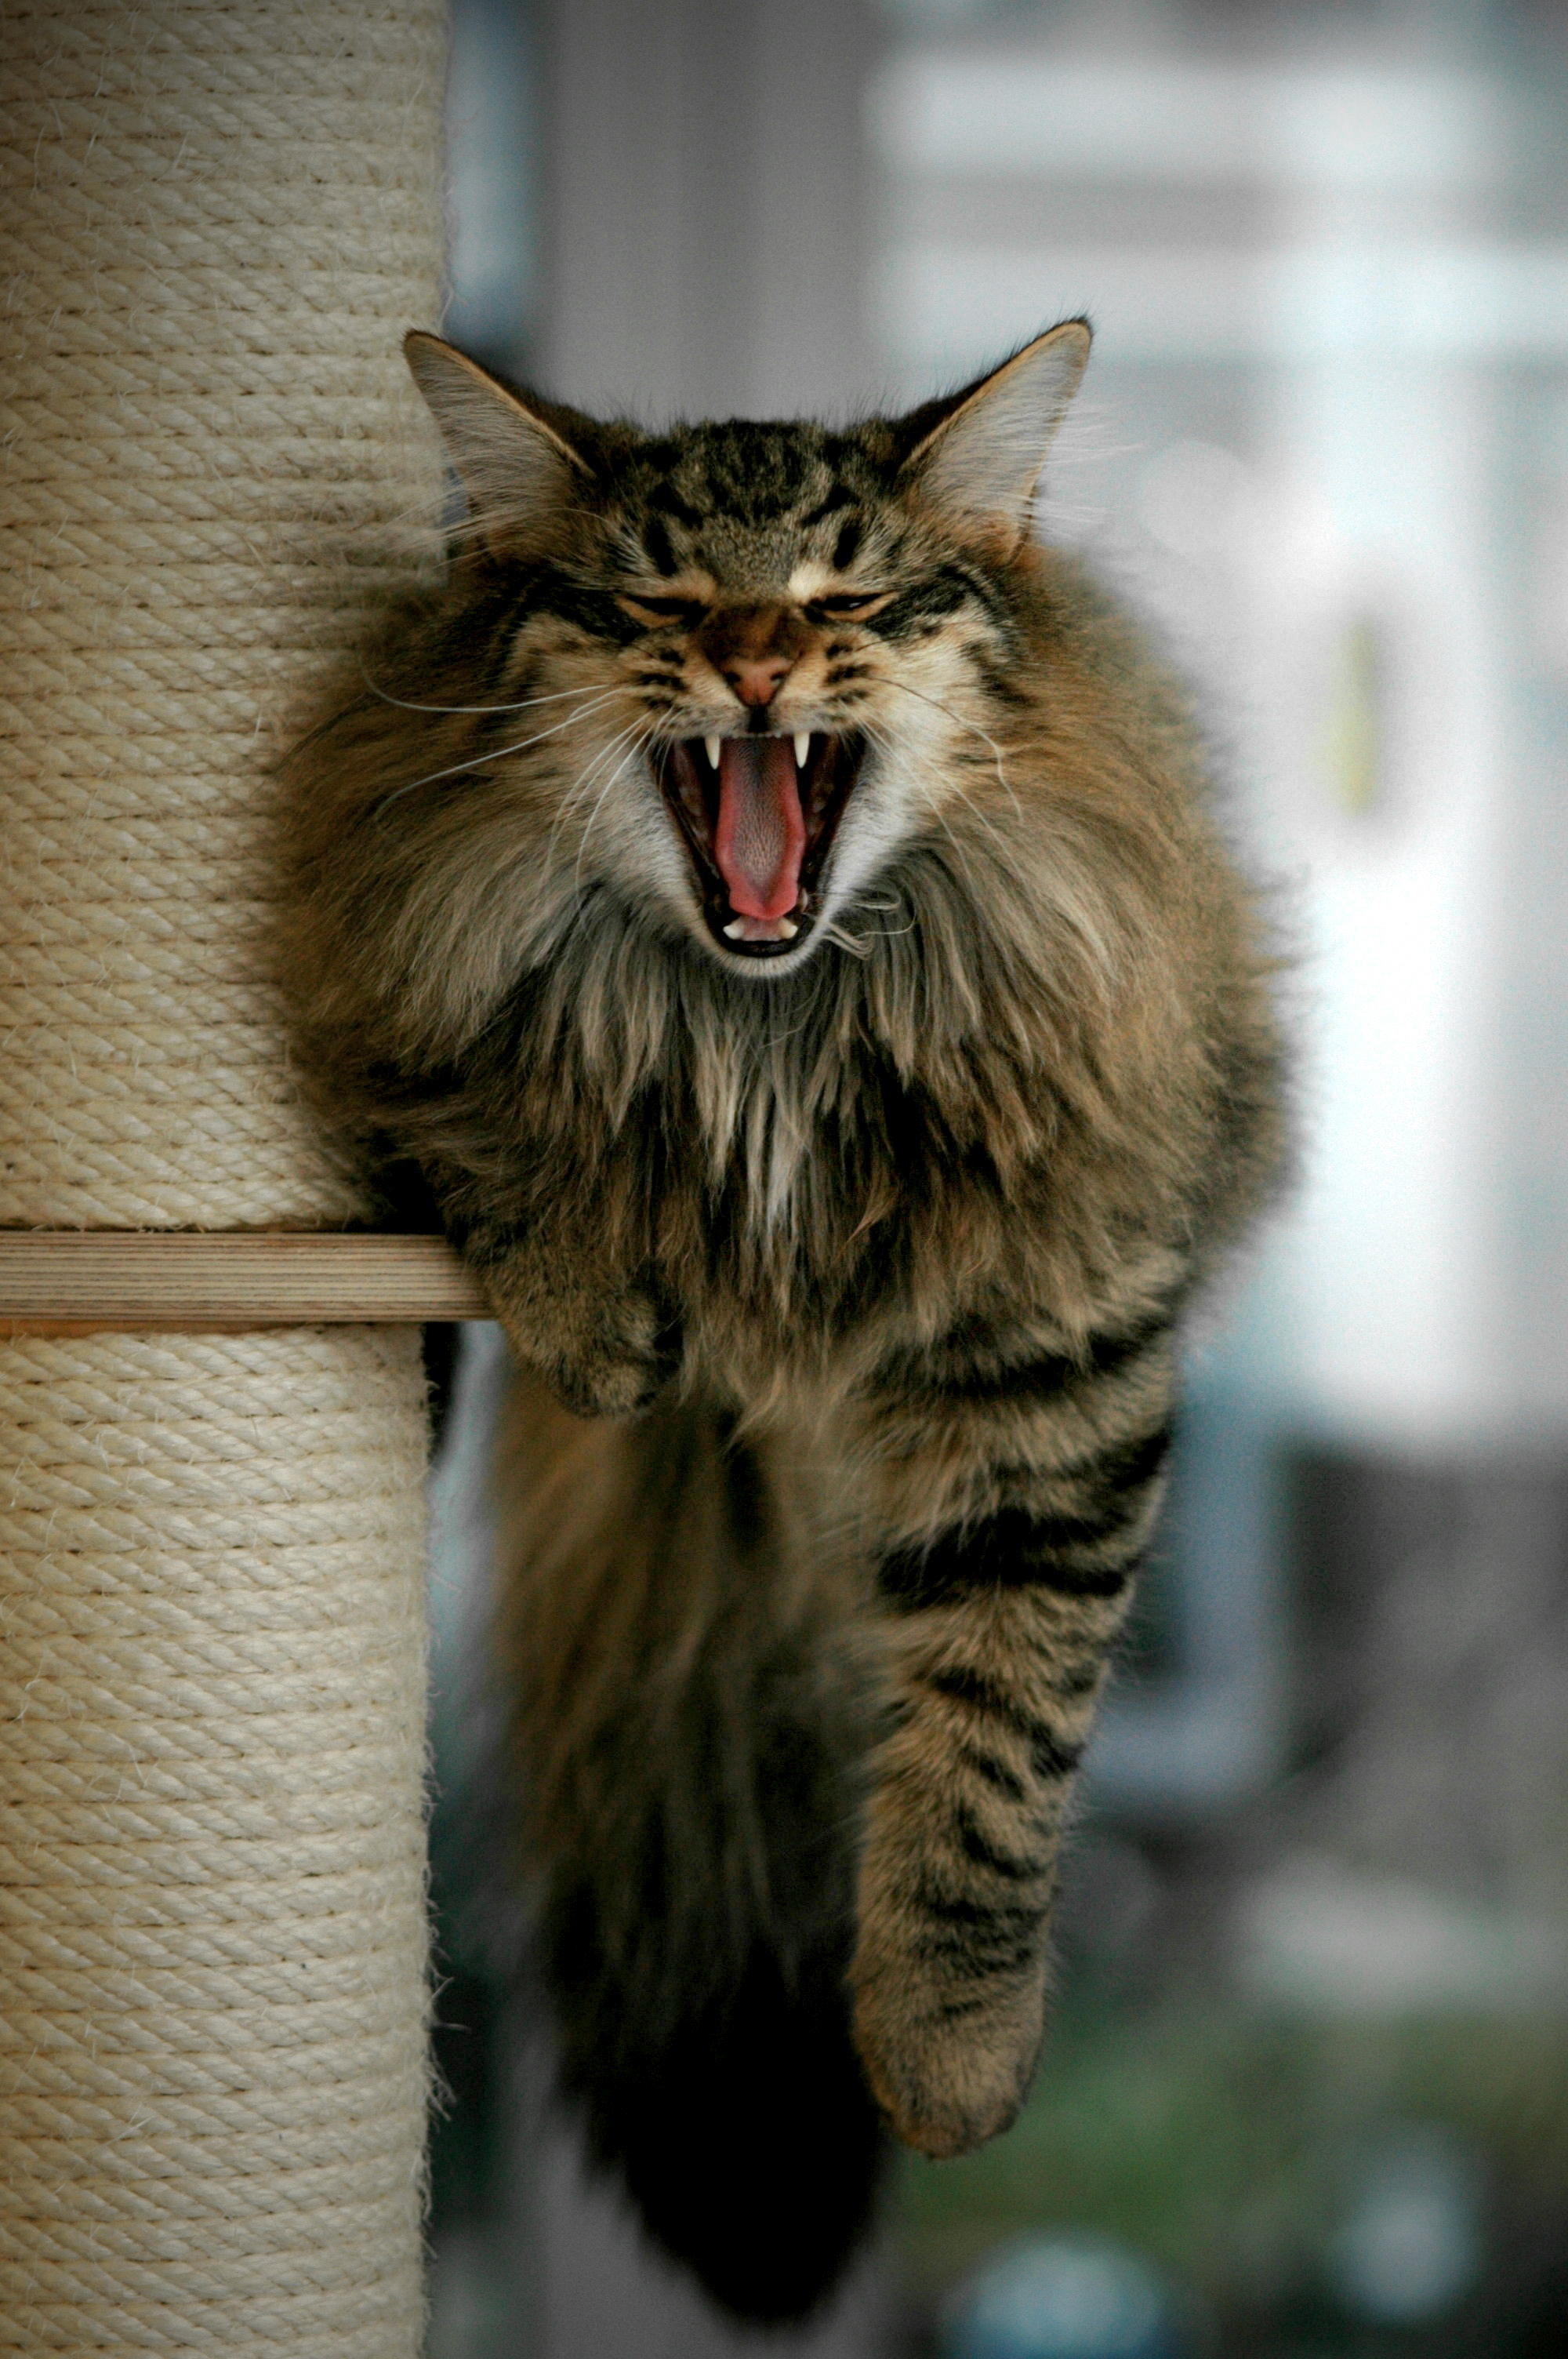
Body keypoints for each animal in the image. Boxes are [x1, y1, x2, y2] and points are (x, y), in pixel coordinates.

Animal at [282, 321, 1288, 2323]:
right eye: (653, 598)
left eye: (848, 594)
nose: (754, 661)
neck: (764, 1033)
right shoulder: (389, 958)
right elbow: (480, 1123)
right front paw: (589, 1287)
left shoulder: (1052, 1355)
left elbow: (994, 1760)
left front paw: (948, 2061)